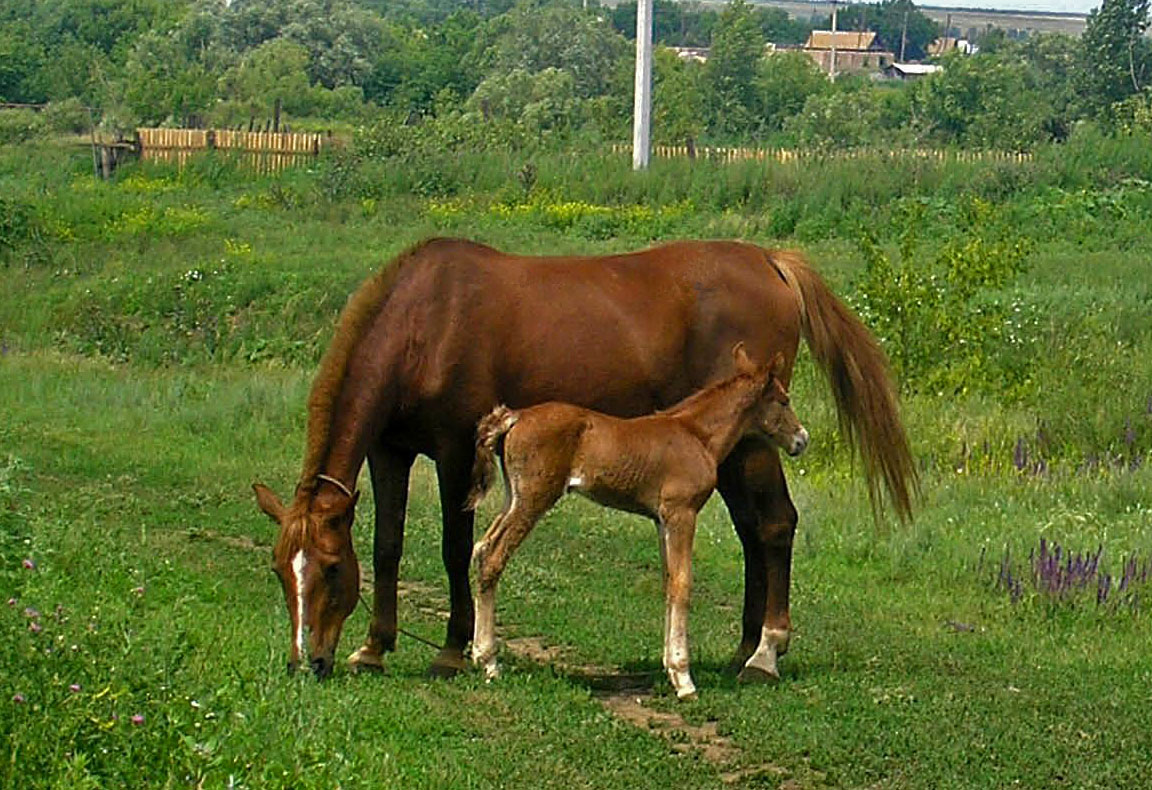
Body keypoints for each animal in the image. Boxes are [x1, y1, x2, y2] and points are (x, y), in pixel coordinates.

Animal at [463, 345, 806, 700]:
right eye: (784, 400)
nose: (801, 439)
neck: (696, 435)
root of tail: (514, 417)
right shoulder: (682, 512)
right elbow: (682, 583)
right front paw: (684, 679)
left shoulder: (661, 520)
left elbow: (669, 581)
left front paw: (671, 670)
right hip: (534, 498)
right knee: (494, 556)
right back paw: (489, 662)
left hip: (513, 496)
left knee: (482, 547)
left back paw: (480, 653)